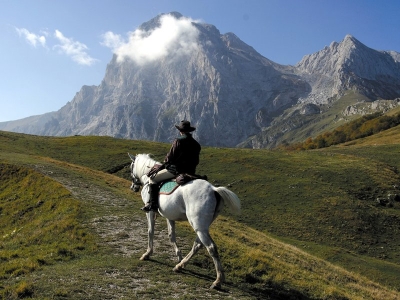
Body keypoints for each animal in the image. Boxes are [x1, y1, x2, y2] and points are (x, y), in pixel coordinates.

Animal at [129, 154, 241, 290]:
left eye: (131, 168)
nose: (133, 187)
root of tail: (214, 189)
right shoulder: (169, 216)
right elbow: (171, 236)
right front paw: (178, 256)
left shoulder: (149, 212)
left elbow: (150, 231)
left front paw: (147, 254)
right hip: (202, 226)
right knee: (197, 245)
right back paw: (180, 266)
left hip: (198, 225)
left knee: (211, 247)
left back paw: (218, 281)